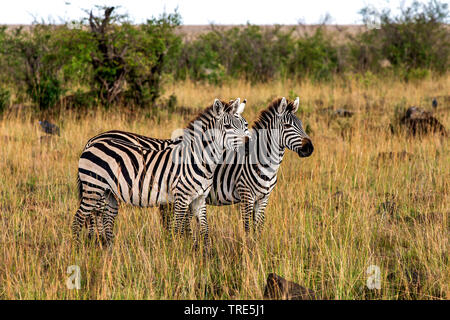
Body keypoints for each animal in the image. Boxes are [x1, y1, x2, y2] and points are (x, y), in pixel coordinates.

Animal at [72, 98, 251, 248]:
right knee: (80, 217)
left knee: (105, 217)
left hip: (108, 192)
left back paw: (107, 250)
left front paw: (206, 256)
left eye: (244, 126)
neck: (201, 159)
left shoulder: (199, 199)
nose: (247, 145)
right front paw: (178, 256)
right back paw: (78, 249)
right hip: (94, 186)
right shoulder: (181, 197)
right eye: (228, 127)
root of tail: (92, 142)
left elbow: (205, 230)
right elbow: (178, 229)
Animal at [82, 97, 312, 238]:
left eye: (301, 124)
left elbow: (258, 229)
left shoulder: (263, 198)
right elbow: (248, 229)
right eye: (288, 126)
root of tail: (94, 139)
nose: (309, 148)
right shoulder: (246, 194)